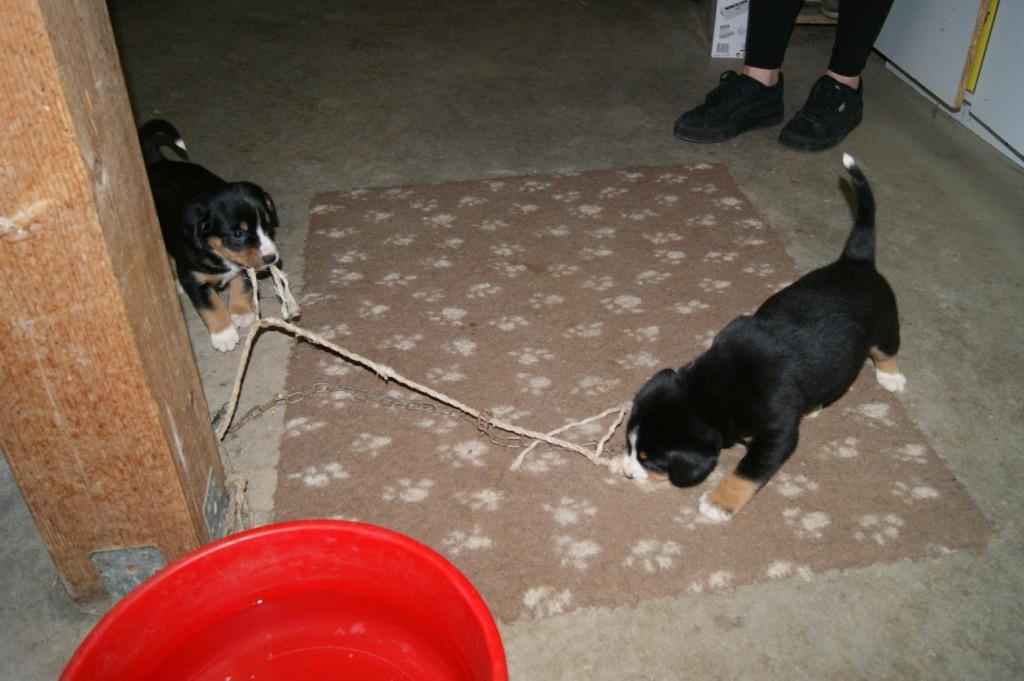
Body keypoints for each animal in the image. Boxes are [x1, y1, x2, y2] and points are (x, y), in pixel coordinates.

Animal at [139, 119, 280, 352]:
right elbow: (210, 306)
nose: (271, 258)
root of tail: (158, 161)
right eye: (238, 234)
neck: (215, 250)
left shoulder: (243, 263)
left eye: (267, 226)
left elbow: (242, 285)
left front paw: (241, 313)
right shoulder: (195, 281)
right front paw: (224, 335)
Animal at [621, 154, 905, 522]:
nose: (627, 471)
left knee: (887, 350)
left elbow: (748, 471)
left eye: (651, 461)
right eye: (629, 446)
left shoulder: (776, 434)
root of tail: (856, 261)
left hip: (885, 323)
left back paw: (892, 378)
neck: (713, 389)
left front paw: (718, 503)